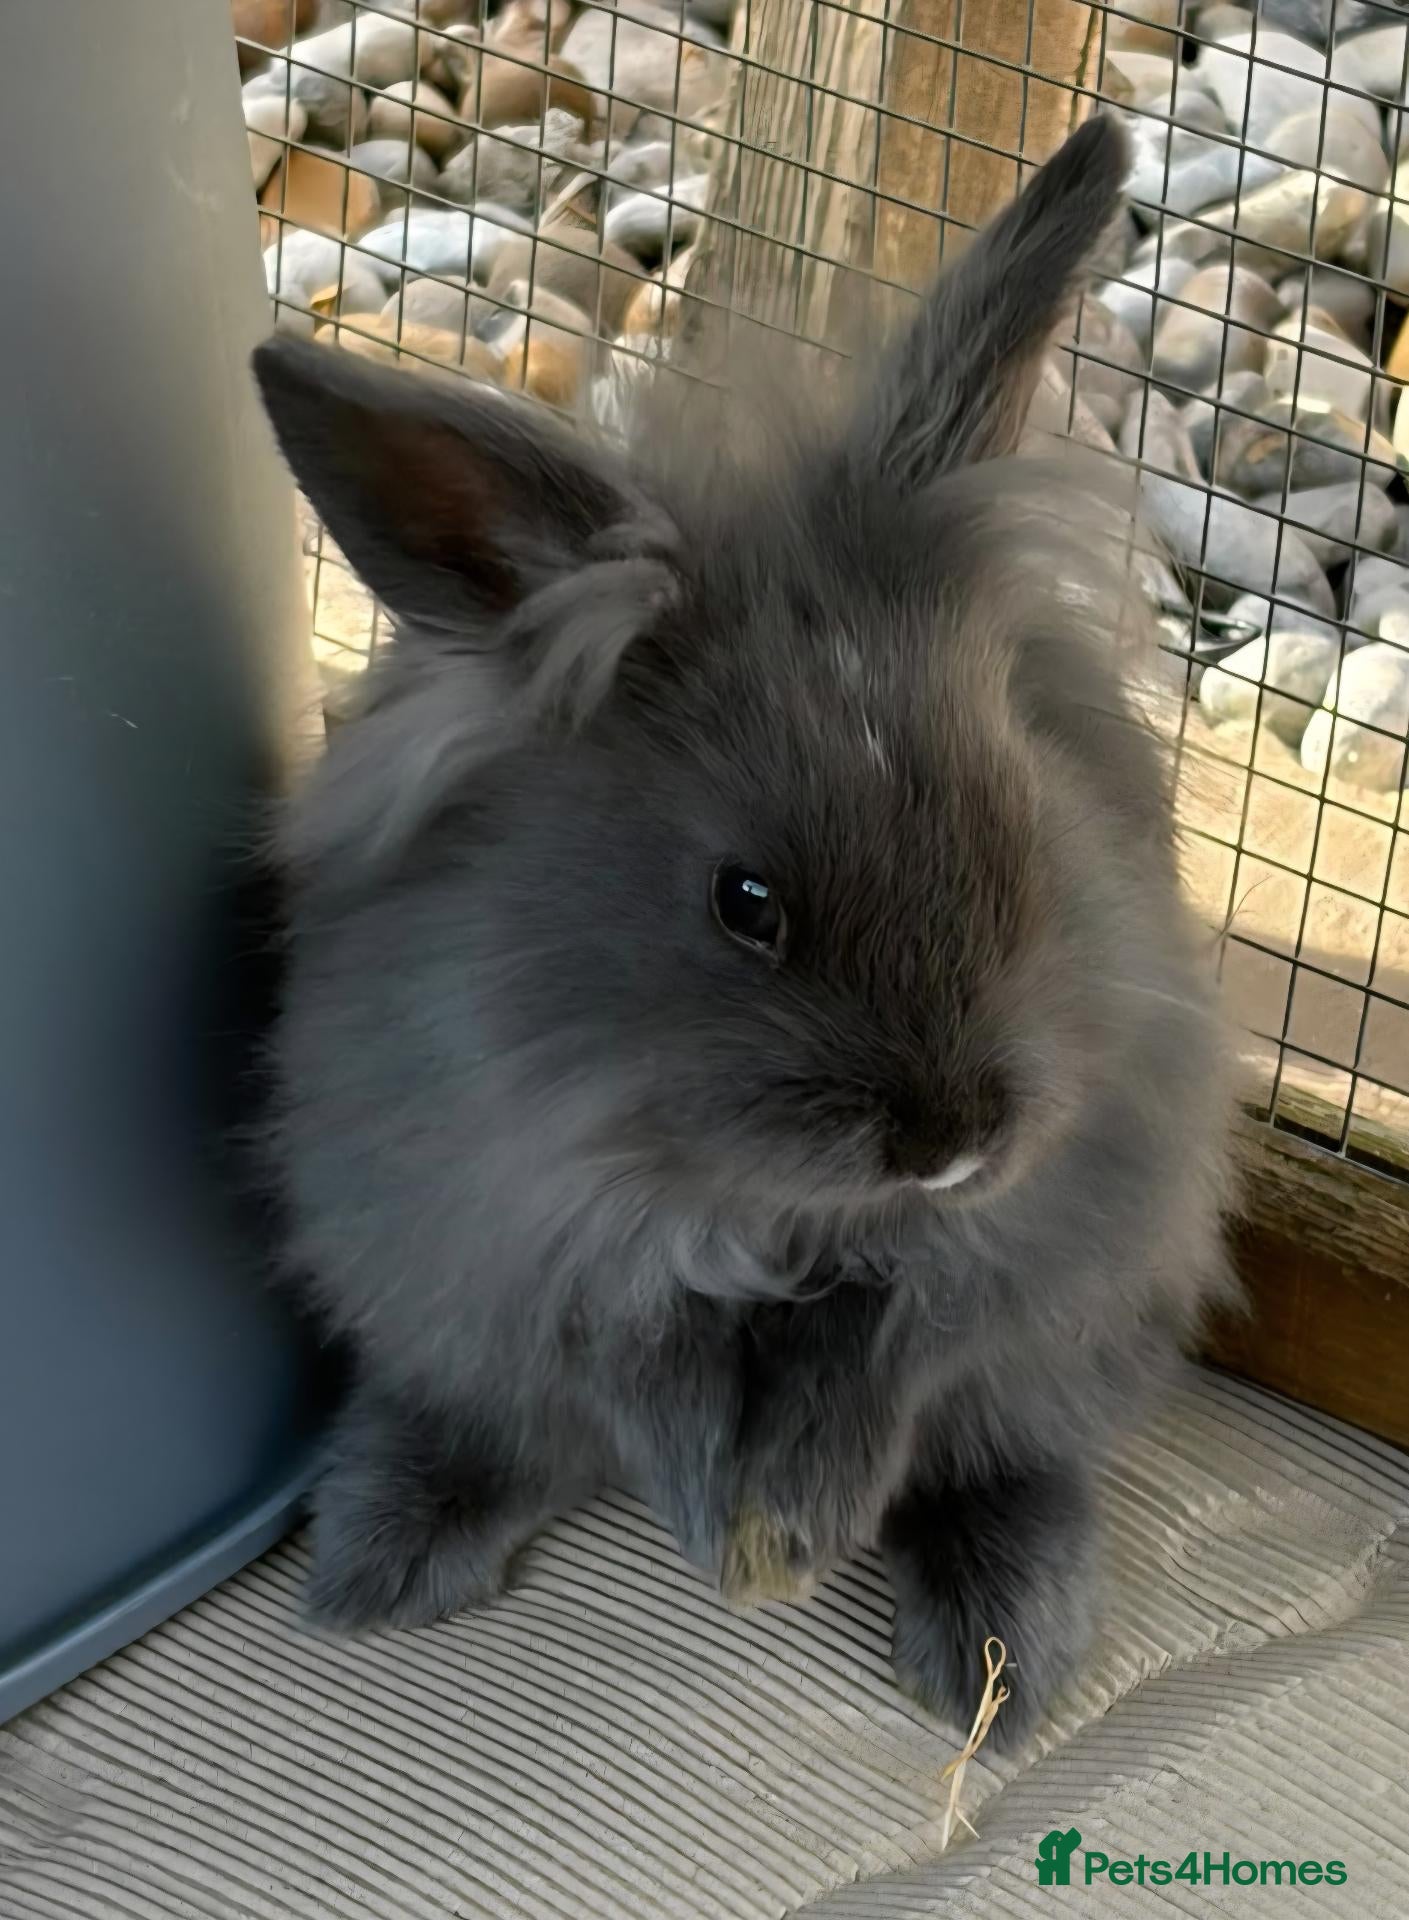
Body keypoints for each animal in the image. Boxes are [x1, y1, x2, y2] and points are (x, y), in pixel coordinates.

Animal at [253, 115, 1234, 1752]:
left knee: (1012, 1467)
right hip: (429, 1302)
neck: (770, 1210)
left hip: (1078, 1339)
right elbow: (643, 1368)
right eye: (744, 903)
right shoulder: (541, 1218)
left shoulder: (1003, 1242)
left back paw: (996, 1665)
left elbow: (888, 1361)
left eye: (1019, 825)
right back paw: (383, 1561)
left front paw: (802, 1523)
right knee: (506, 1427)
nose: (951, 1140)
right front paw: (723, 1524)